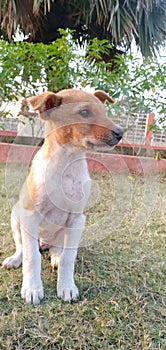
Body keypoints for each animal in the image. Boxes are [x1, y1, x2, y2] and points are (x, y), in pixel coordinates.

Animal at [1, 89, 122, 304]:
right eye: (84, 112)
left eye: (105, 111)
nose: (120, 133)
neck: (66, 164)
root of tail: (43, 242)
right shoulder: (30, 215)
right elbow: (32, 257)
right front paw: (32, 288)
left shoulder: (77, 218)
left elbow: (69, 257)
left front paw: (66, 287)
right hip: (16, 218)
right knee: (23, 247)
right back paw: (15, 259)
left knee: (58, 249)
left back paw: (55, 257)